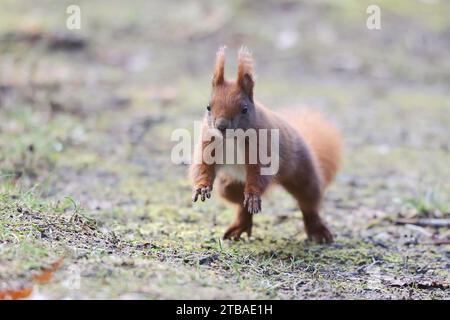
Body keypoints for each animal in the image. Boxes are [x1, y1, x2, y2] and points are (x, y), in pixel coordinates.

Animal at [189, 46, 342, 244]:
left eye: (244, 109)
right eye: (208, 107)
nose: (221, 126)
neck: (232, 139)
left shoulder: (262, 148)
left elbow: (258, 173)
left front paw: (254, 195)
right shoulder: (208, 143)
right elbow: (203, 166)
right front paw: (202, 186)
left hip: (303, 172)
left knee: (309, 202)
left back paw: (317, 230)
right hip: (228, 186)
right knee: (240, 204)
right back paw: (239, 226)